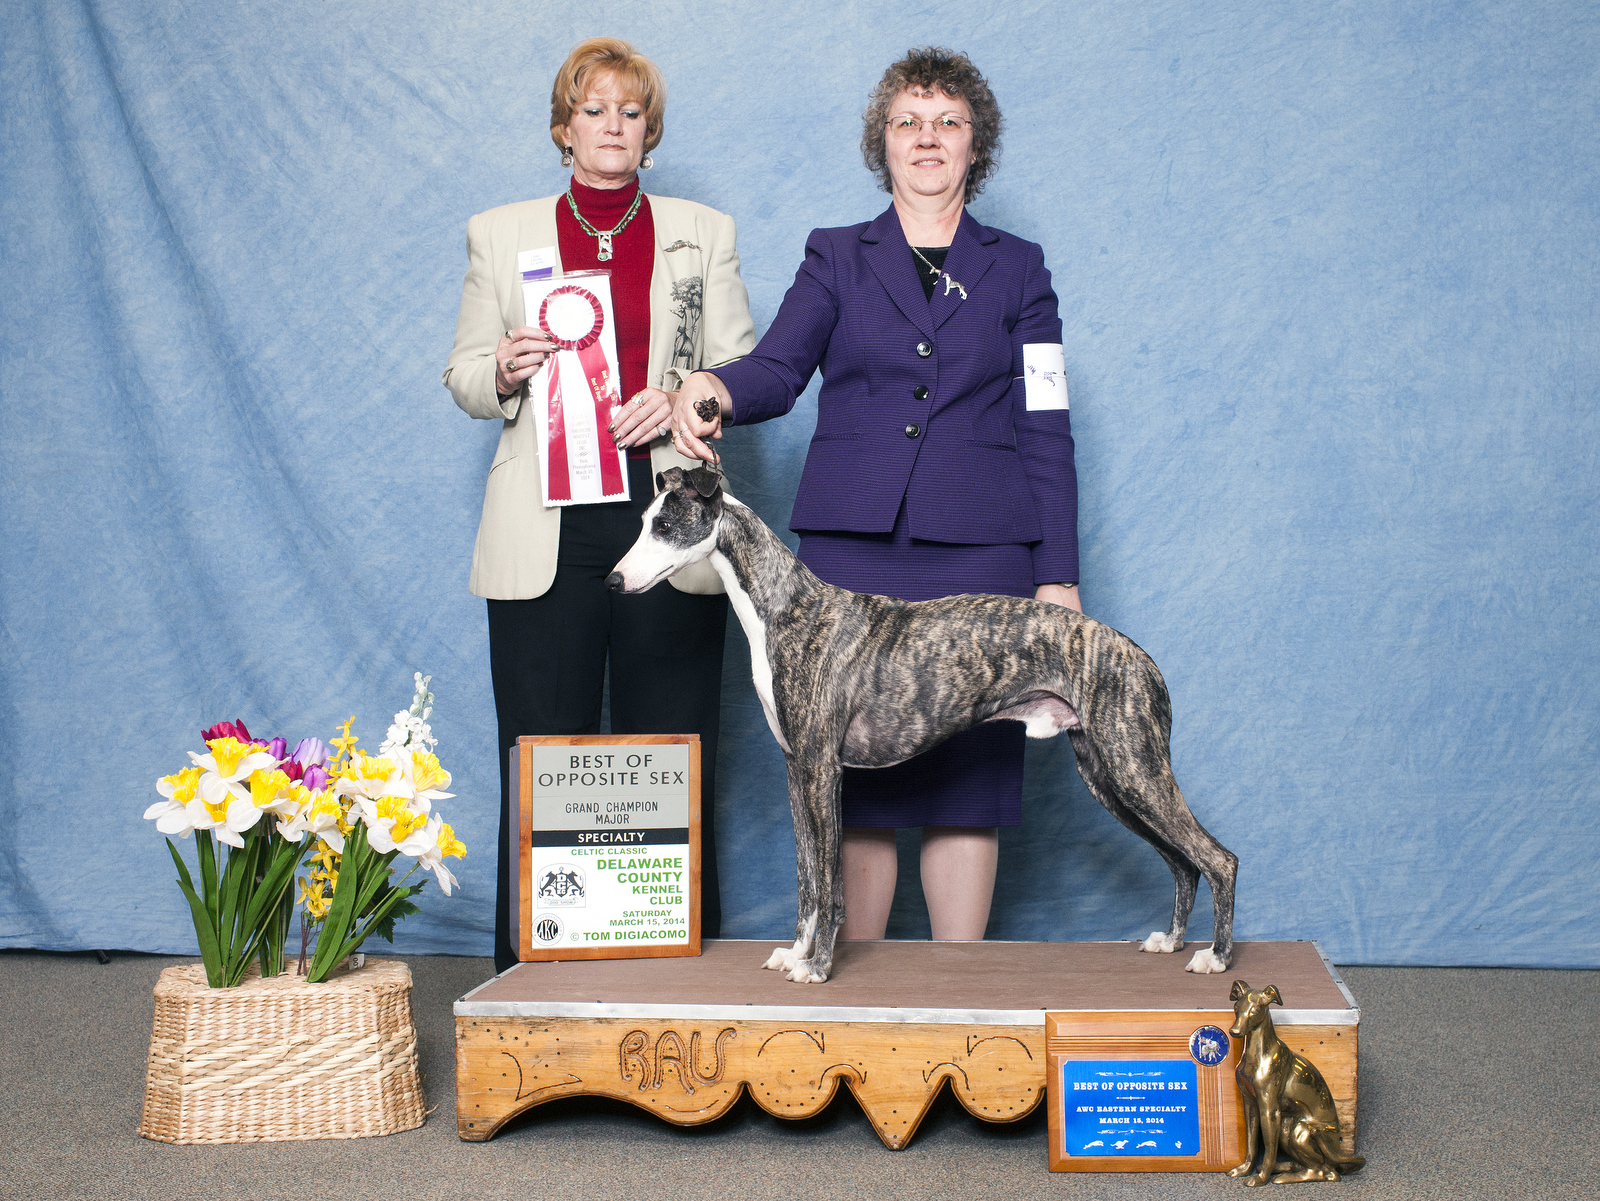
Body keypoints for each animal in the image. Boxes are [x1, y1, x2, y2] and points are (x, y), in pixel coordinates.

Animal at [604, 470, 1241, 985]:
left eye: (664, 525)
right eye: (643, 523)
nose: (611, 583)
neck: (784, 608)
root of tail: (1139, 656)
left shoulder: (821, 771)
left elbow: (831, 883)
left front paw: (818, 967)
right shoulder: (796, 771)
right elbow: (808, 879)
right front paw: (795, 953)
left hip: (1134, 766)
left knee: (1216, 857)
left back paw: (1215, 957)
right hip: (1107, 774)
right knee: (1182, 861)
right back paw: (1173, 940)